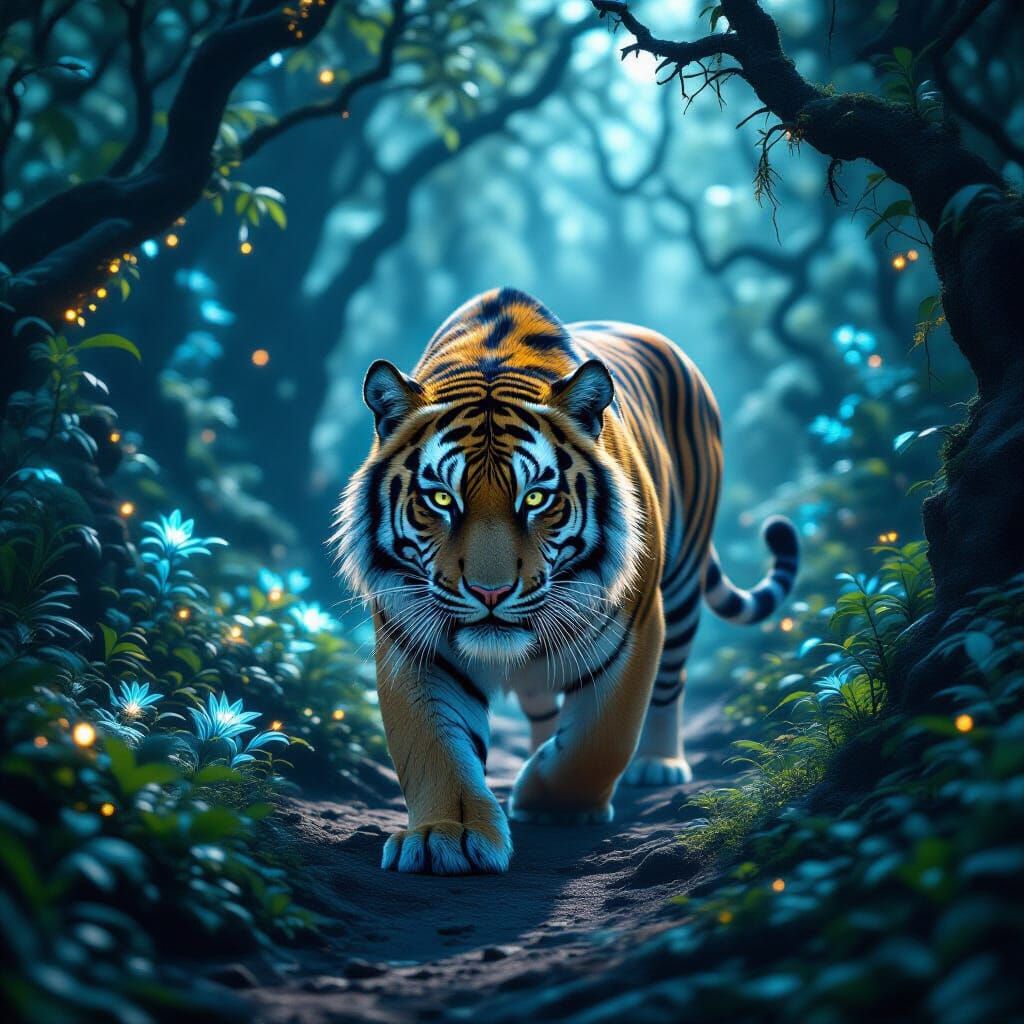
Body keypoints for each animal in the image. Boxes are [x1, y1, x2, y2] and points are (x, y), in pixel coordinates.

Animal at [334, 287, 798, 875]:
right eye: (441, 498)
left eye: (536, 498)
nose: (489, 593)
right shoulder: (413, 639)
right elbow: (434, 747)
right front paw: (446, 835)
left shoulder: (633, 626)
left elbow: (600, 741)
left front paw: (550, 803)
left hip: (683, 581)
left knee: (670, 682)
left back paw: (659, 763)